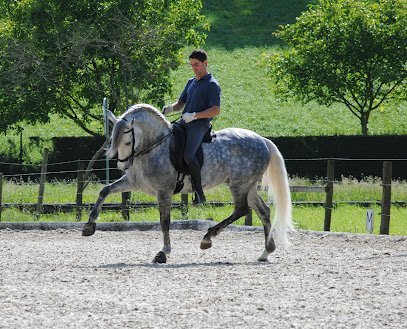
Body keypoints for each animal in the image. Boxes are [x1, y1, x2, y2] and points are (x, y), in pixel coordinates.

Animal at [83, 104, 294, 262]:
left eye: (127, 140)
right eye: (113, 139)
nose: (122, 164)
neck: (155, 146)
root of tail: (262, 140)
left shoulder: (164, 191)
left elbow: (164, 221)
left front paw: (164, 252)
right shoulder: (132, 182)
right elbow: (104, 191)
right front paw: (89, 226)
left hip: (239, 185)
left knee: (242, 210)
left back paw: (207, 238)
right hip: (248, 186)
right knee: (263, 211)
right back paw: (265, 252)